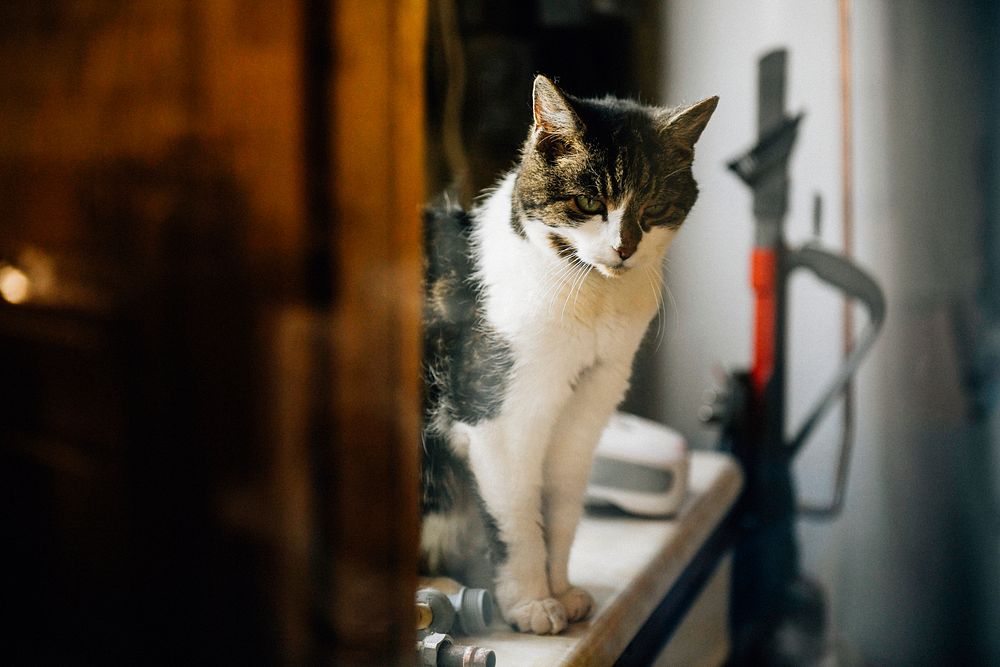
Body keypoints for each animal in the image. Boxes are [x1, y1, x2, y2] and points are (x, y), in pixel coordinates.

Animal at [418, 75, 716, 636]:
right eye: (587, 202)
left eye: (653, 207)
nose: (624, 247)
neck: (593, 301)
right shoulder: (501, 419)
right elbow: (517, 518)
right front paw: (532, 602)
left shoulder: (586, 411)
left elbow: (560, 508)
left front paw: (562, 591)